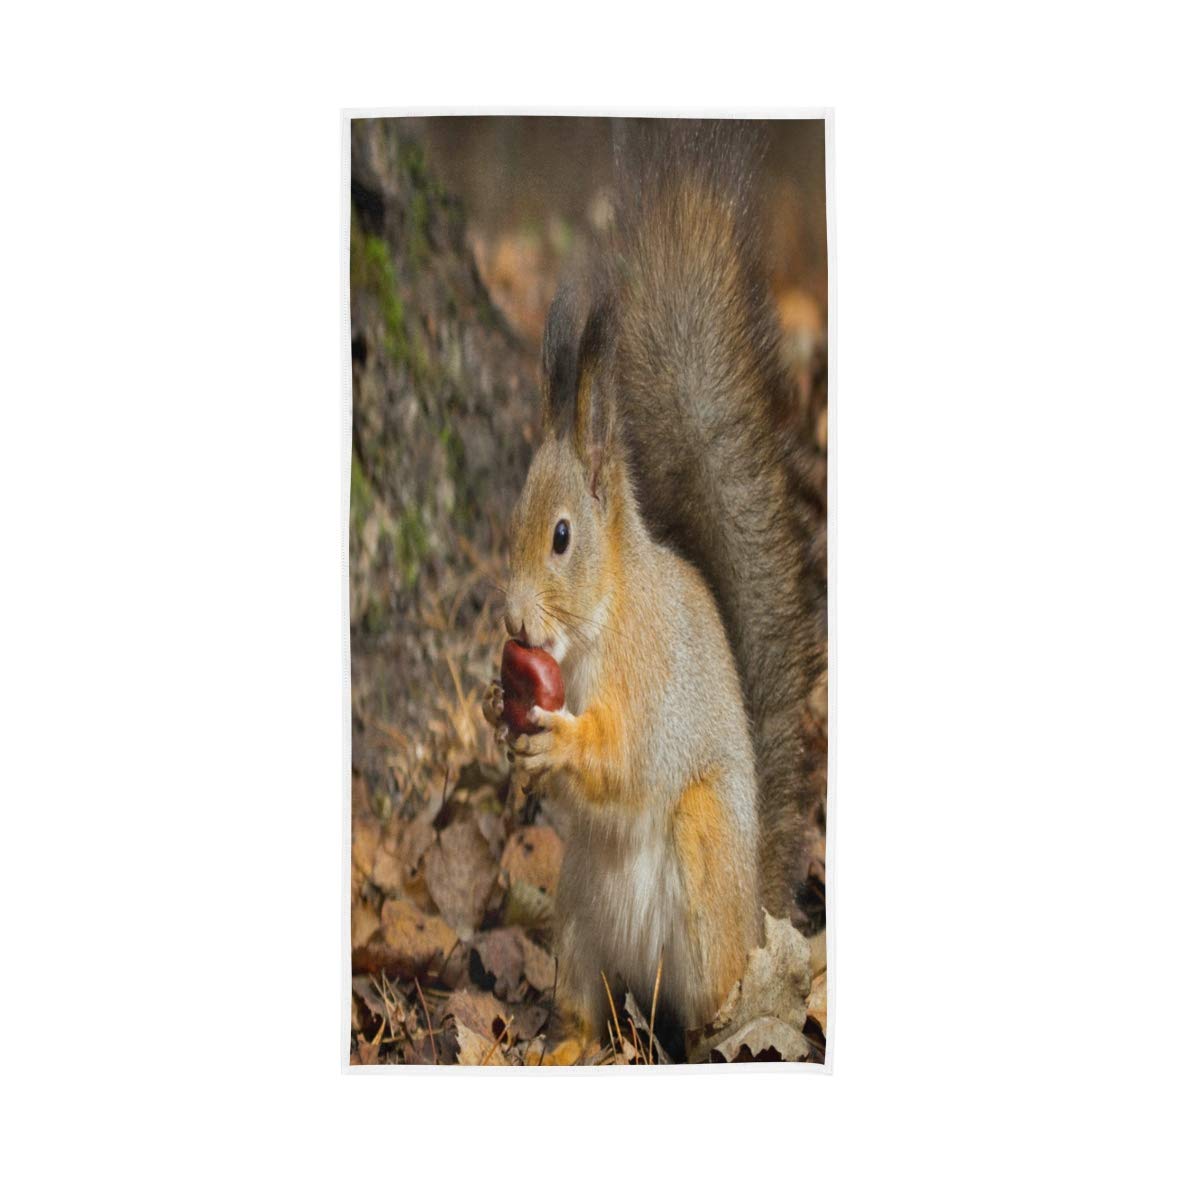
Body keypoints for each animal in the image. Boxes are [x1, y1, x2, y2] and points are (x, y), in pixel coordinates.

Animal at [484, 120, 826, 1046]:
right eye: (511, 520)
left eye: (561, 537)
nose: (514, 624)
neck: (595, 626)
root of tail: (758, 924)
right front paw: (496, 714)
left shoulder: (651, 674)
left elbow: (627, 755)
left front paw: (560, 745)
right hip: (574, 918)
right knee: (587, 1009)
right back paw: (564, 1050)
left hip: (703, 873)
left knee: (705, 1008)